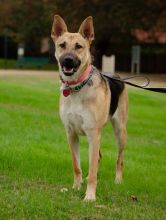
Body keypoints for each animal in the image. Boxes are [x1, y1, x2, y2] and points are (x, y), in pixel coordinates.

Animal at [51, 15, 128, 201]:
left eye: (79, 47)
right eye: (62, 45)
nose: (68, 60)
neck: (76, 87)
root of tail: (117, 75)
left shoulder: (93, 133)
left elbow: (92, 168)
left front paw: (90, 196)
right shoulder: (71, 133)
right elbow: (77, 165)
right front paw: (76, 187)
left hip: (120, 132)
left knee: (119, 159)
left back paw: (118, 180)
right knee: (98, 158)